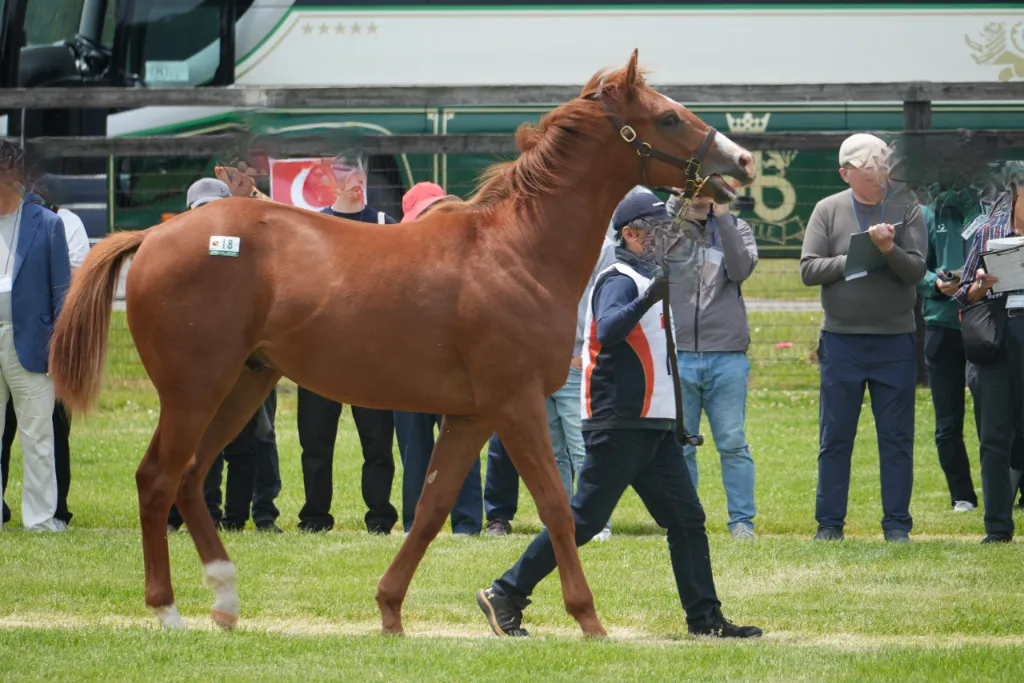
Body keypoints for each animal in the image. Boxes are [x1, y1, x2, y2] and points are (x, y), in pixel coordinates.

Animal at [48, 49, 755, 637]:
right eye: (667, 118)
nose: (741, 162)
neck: (517, 251)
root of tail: (157, 233)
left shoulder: (472, 415)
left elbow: (432, 508)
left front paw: (391, 611)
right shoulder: (515, 403)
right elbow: (558, 507)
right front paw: (588, 620)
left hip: (244, 383)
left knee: (192, 476)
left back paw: (224, 600)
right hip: (195, 389)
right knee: (158, 478)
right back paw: (168, 610)